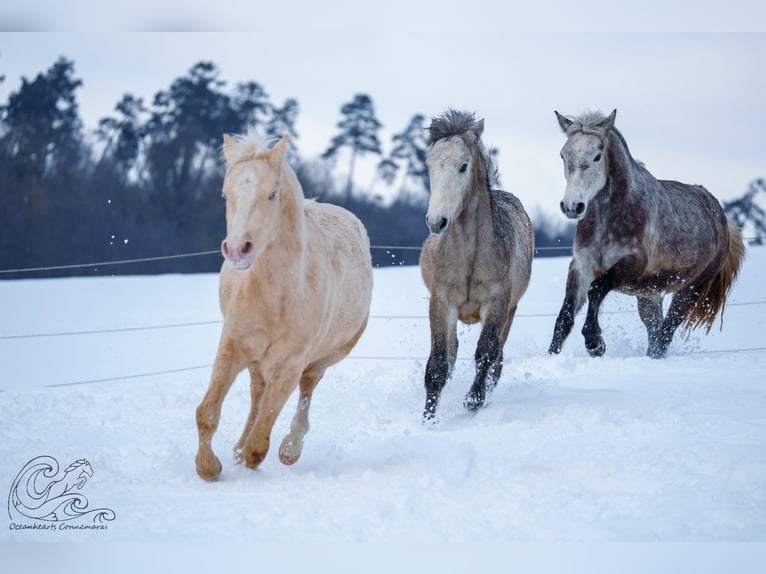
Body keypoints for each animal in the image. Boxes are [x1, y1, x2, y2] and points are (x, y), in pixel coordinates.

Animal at [195, 130, 373, 481]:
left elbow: (263, 434)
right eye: (225, 194)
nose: (237, 249)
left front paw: (251, 460)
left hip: (322, 359)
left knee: (305, 392)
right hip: (256, 361)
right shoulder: (231, 348)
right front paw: (209, 467)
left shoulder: (290, 365)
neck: (276, 297)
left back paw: (290, 448)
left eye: (272, 194)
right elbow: (208, 412)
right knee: (256, 394)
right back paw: (237, 450)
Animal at [420, 110, 534, 422]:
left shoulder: (497, 304)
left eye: (463, 166)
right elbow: (438, 363)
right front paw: (428, 417)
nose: (436, 222)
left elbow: (486, 353)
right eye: (429, 165)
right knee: (452, 353)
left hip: (511, 311)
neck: (470, 257)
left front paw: (473, 400)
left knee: (497, 359)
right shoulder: (441, 303)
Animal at [548, 109, 745, 359]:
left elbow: (597, 289)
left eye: (597, 156)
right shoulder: (581, 266)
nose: (572, 206)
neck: (609, 220)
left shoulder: (631, 263)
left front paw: (595, 343)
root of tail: (721, 217)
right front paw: (551, 355)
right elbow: (565, 317)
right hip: (650, 295)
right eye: (563, 155)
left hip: (689, 290)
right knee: (656, 333)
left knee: (665, 333)